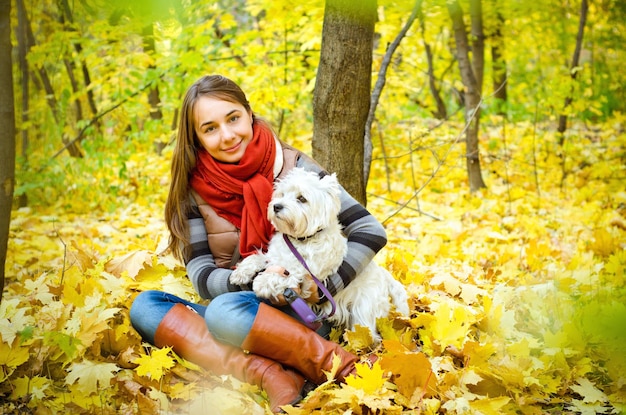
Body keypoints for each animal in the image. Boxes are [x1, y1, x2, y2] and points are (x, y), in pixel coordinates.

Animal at [229, 167, 410, 346]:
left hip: (364, 307)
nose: (276, 206)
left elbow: (288, 273)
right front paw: (240, 273)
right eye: (282, 194)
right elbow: (258, 258)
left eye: (301, 198)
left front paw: (263, 282)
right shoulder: (275, 257)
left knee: (368, 333)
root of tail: (384, 275)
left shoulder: (308, 273)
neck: (301, 240)